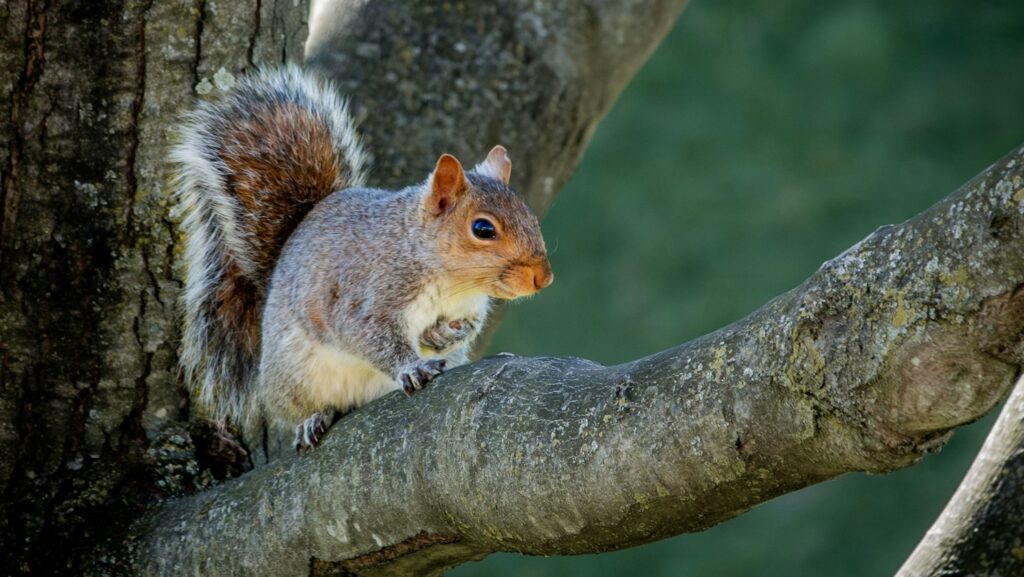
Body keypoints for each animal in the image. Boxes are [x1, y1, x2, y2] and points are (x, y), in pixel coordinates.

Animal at [172, 66, 553, 452]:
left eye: (531, 217)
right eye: (483, 229)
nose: (543, 277)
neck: (450, 281)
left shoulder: (470, 307)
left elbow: (466, 327)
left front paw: (443, 335)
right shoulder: (365, 296)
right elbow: (369, 335)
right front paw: (413, 366)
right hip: (294, 376)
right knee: (297, 408)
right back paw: (312, 419)